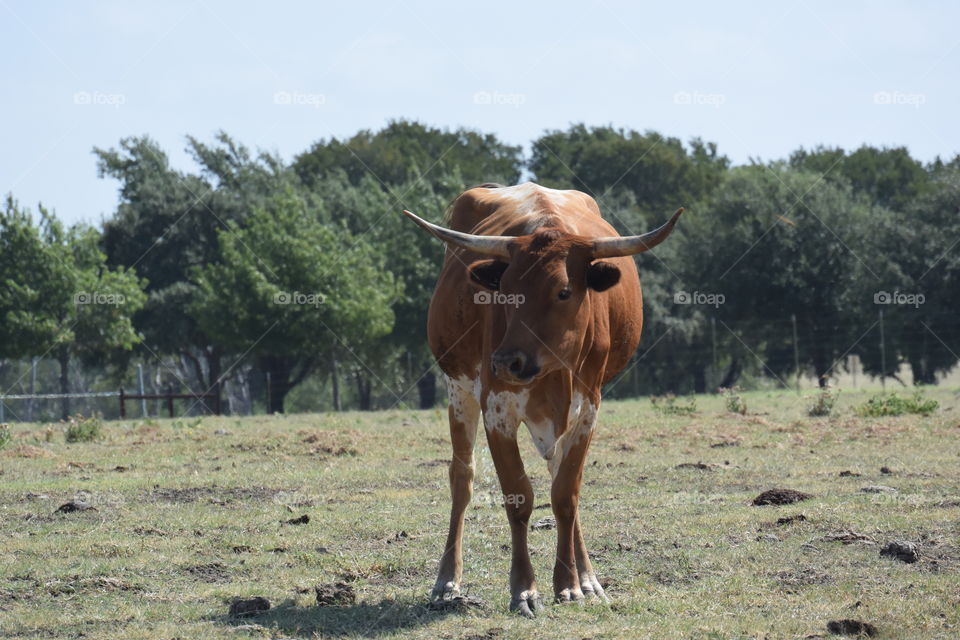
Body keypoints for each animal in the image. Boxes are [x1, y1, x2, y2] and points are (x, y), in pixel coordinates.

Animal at [403, 182, 682, 617]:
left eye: (563, 291)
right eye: (504, 291)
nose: (505, 361)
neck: (554, 371)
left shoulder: (588, 409)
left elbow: (566, 494)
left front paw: (569, 584)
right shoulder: (496, 410)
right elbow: (519, 497)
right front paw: (524, 590)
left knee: (559, 479)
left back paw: (587, 579)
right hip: (458, 389)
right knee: (462, 478)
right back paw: (447, 581)